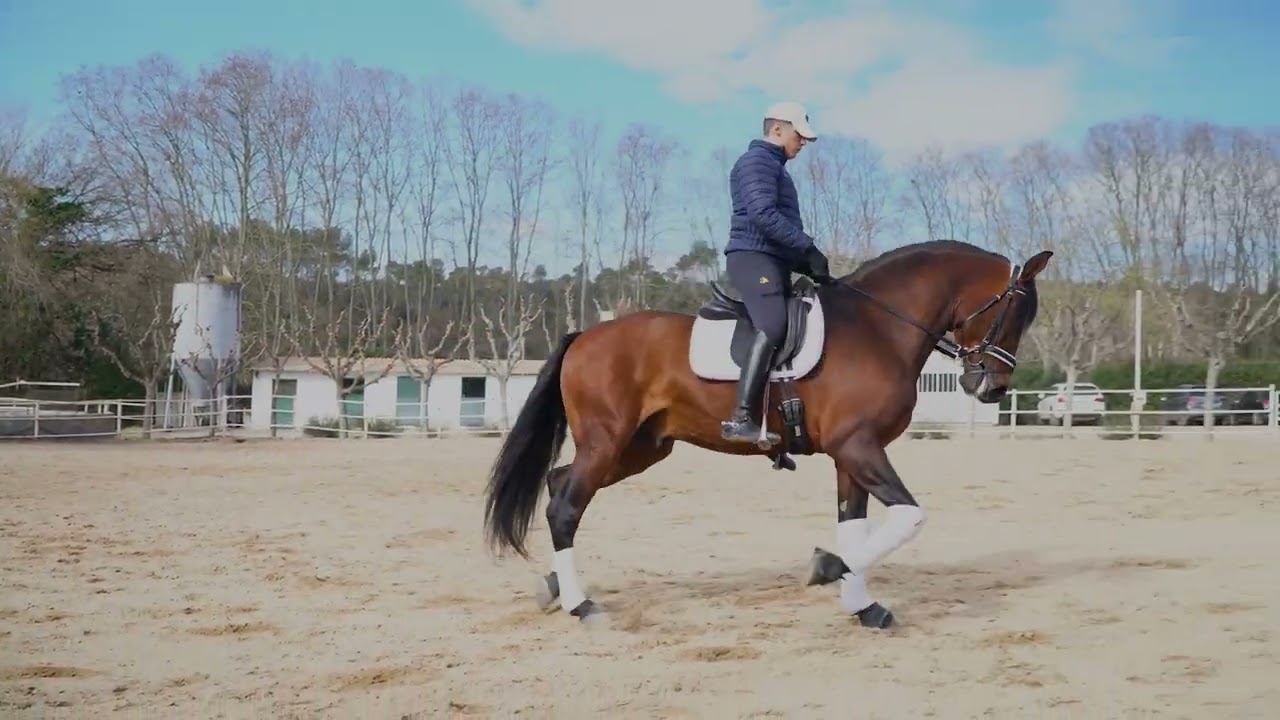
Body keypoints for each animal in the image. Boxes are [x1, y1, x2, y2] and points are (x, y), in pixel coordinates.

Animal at [482, 239, 1053, 629]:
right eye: (1014, 313)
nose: (992, 389)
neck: (877, 328)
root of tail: (584, 337)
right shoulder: (858, 446)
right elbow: (910, 517)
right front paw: (827, 568)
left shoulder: (852, 453)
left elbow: (855, 525)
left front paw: (861, 603)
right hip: (607, 442)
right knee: (566, 506)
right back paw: (581, 605)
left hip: (640, 449)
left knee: (560, 487)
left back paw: (556, 587)